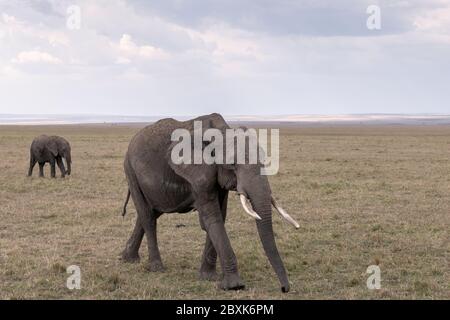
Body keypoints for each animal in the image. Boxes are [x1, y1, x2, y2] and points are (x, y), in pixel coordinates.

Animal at [120, 113, 298, 292]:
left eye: (264, 161)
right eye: (232, 164)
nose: (284, 289)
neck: (222, 131)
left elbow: (220, 216)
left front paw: (208, 277)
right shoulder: (199, 176)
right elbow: (212, 218)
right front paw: (234, 286)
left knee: (150, 212)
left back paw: (128, 258)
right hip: (130, 170)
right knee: (148, 217)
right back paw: (156, 268)